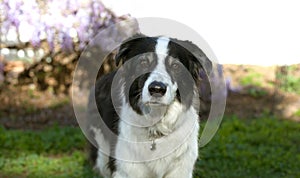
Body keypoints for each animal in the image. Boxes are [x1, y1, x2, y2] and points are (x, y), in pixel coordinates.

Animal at [88, 34, 212, 177]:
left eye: (175, 66)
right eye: (143, 62)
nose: (157, 89)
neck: (156, 127)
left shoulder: (181, 170)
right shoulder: (125, 170)